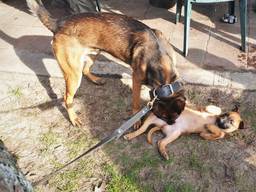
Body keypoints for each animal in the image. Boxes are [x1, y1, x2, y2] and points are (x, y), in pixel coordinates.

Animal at [26, 0, 185, 127]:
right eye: (162, 116)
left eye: (178, 115)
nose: (172, 124)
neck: (160, 58)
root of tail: (59, 23)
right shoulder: (136, 79)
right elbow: (135, 101)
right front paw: (136, 119)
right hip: (73, 74)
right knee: (67, 98)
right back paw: (74, 118)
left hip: (93, 53)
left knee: (85, 70)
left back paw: (96, 80)